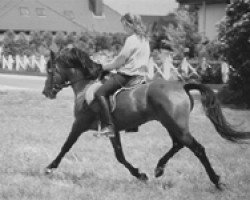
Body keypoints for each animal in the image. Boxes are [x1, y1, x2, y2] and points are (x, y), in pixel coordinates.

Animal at [42, 47, 249, 190]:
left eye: (51, 71)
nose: (46, 92)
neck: (85, 86)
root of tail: (182, 86)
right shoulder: (113, 130)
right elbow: (120, 156)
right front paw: (140, 174)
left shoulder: (79, 124)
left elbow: (65, 147)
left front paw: (49, 168)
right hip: (170, 124)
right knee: (178, 144)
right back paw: (159, 168)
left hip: (176, 125)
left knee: (197, 148)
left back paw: (217, 182)